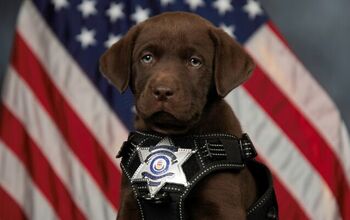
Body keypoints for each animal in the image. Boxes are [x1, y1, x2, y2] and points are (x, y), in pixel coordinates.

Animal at [100, 12, 270, 220]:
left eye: (195, 61)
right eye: (147, 58)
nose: (162, 91)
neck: (174, 135)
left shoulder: (222, 205)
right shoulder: (129, 203)